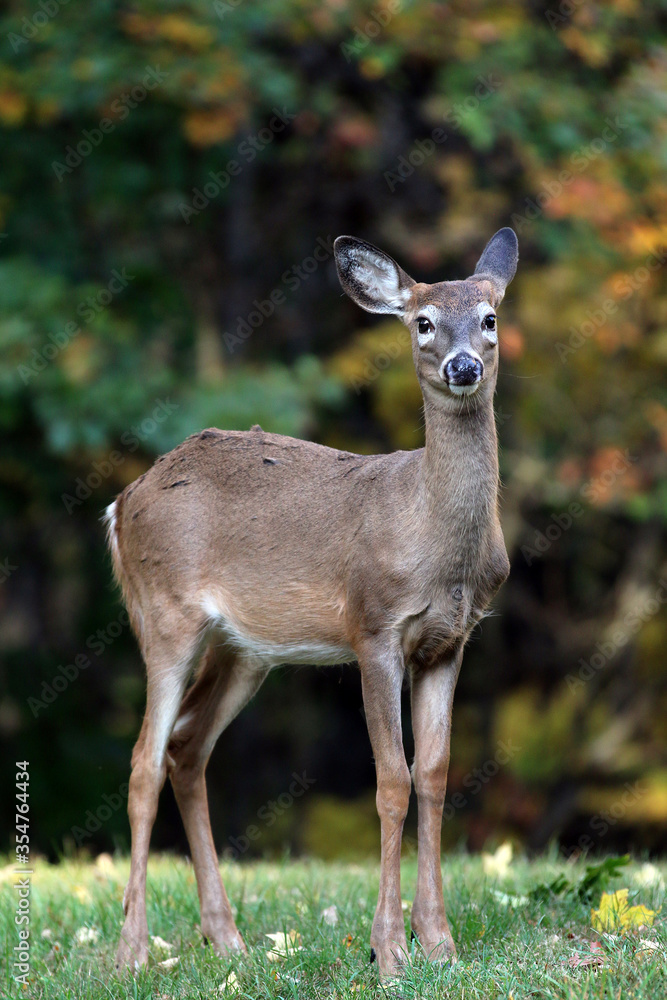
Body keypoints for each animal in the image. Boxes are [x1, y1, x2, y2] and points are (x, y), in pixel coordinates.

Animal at [107, 227, 520, 976]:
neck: (433, 539)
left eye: (489, 318)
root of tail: (122, 504)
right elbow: (391, 782)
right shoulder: (373, 627)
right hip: (164, 612)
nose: (463, 366)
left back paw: (228, 939)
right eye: (422, 322)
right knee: (143, 762)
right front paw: (389, 949)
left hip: (244, 650)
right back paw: (131, 952)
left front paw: (440, 942)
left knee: (187, 747)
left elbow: (434, 774)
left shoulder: (449, 641)